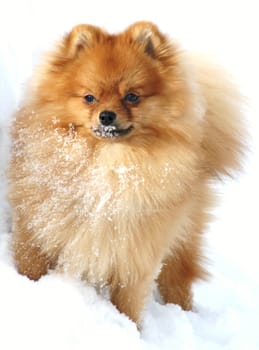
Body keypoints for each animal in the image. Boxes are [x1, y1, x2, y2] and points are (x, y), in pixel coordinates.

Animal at [8, 21, 246, 326]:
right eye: (89, 97)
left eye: (132, 97)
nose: (106, 115)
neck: (111, 165)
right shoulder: (37, 231)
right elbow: (31, 268)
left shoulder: (134, 254)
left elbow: (128, 303)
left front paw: (130, 329)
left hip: (180, 243)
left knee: (177, 281)